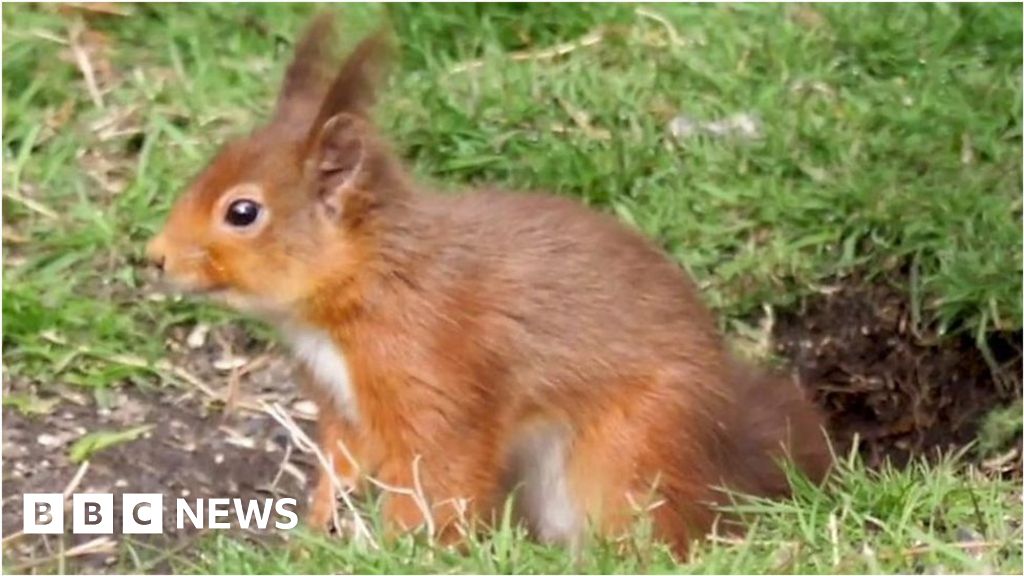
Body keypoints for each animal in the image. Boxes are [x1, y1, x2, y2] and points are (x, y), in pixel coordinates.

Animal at [146, 15, 831, 553]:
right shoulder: (342, 402)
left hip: (632, 448)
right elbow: (339, 464)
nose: (155, 258)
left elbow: (439, 473)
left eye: (242, 212)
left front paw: (409, 547)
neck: (368, 285)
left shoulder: (433, 371)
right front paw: (319, 532)